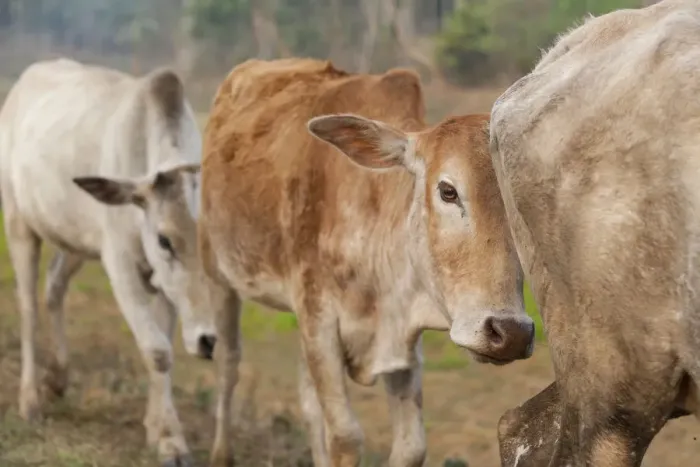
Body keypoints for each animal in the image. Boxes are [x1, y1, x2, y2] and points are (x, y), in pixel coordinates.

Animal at [0, 58, 220, 466]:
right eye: (164, 240)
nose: (209, 341)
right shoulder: (120, 265)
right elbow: (157, 351)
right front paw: (170, 439)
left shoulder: (165, 284)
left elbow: (164, 351)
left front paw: (158, 428)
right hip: (19, 224)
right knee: (28, 309)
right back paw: (30, 400)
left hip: (76, 240)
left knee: (54, 287)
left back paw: (58, 377)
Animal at [198, 57, 535, 467]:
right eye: (448, 191)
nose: (510, 333)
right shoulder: (319, 320)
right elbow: (345, 436)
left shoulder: (399, 342)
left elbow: (409, 446)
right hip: (217, 273)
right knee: (227, 364)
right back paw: (220, 453)